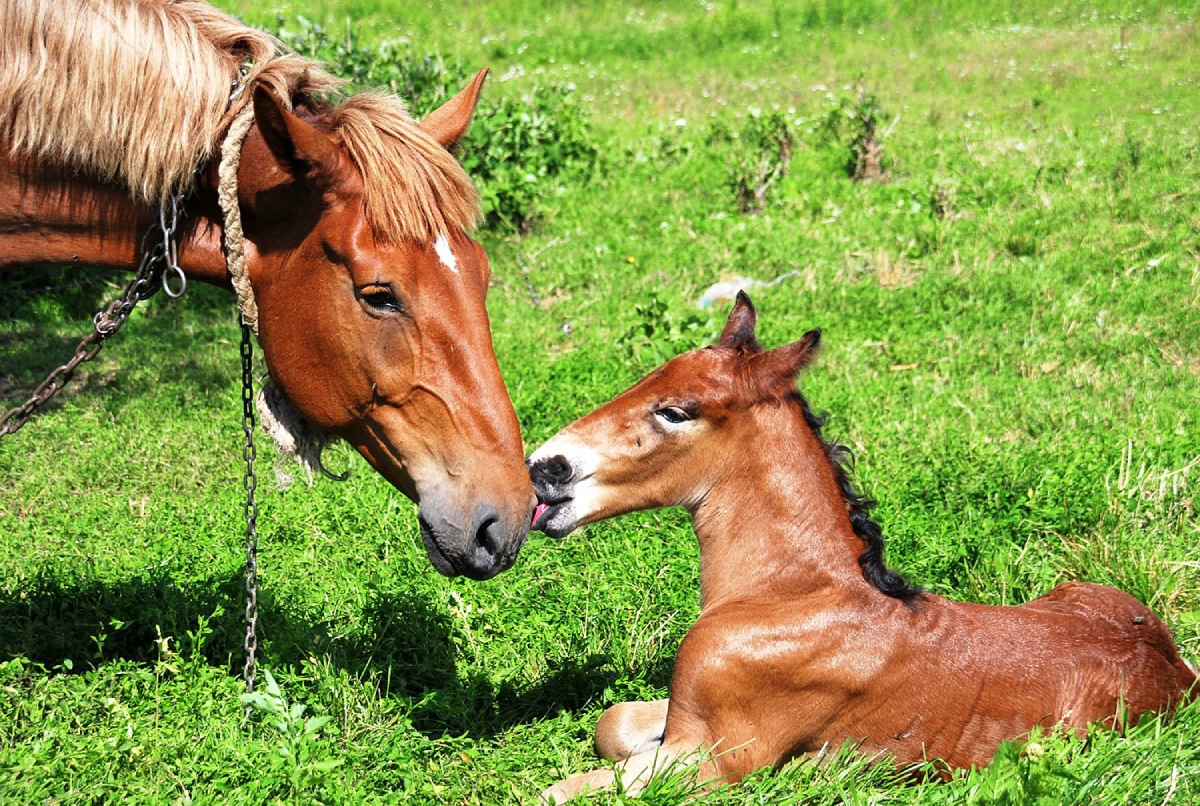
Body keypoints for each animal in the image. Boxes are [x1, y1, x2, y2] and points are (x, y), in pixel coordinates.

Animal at [530, 291, 1195, 801]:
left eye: (674, 411)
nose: (544, 467)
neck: (790, 597)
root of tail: (1181, 673)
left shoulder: (719, 760)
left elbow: (561, 789)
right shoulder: (682, 725)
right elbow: (612, 723)